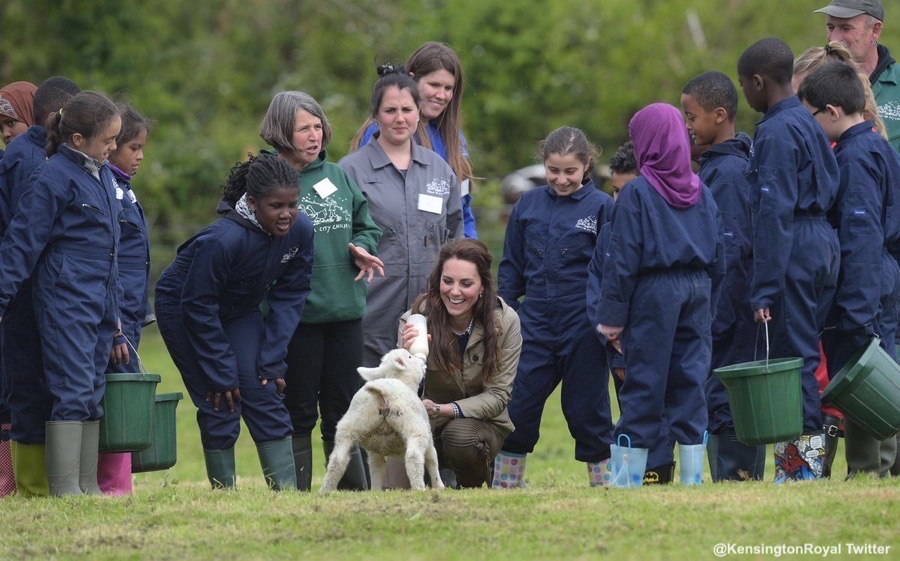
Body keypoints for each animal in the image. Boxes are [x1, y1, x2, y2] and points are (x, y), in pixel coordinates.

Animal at [322, 348, 444, 488]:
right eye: (409, 357)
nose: (422, 361)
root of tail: (383, 390)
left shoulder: (375, 451)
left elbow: (376, 470)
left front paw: (375, 490)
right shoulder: (429, 438)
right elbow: (432, 459)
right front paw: (439, 486)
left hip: (351, 424)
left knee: (337, 459)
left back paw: (327, 489)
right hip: (414, 426)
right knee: (414, 456)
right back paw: (419, 488)